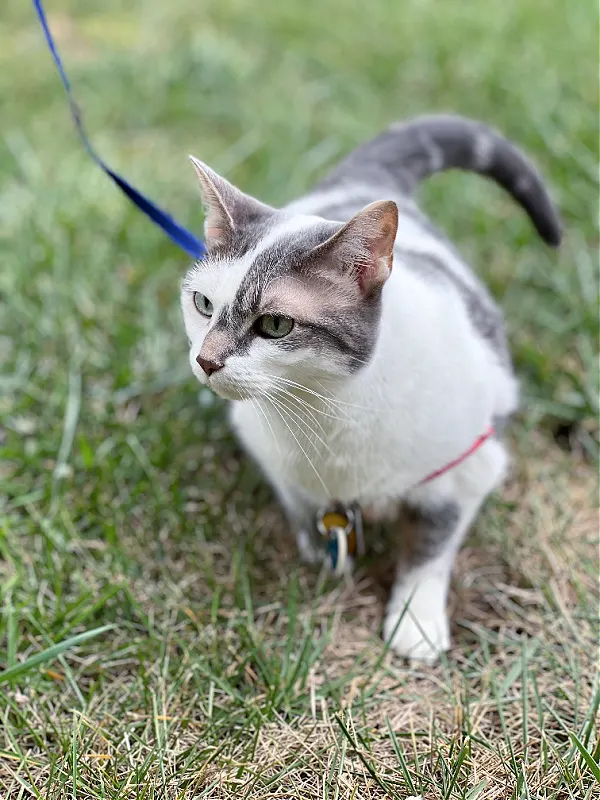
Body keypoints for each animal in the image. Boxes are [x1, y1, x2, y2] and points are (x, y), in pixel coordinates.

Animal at [180, 114, 560, 664]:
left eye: (275, 325)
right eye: (203, 304)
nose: (206, 360)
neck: (323, 412)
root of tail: (359, 181)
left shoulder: (468, 468)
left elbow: (430, 547)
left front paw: (415, 621)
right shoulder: (271, 454)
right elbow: (302, 508)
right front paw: (319, 559)